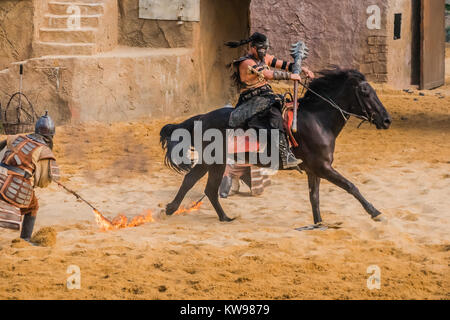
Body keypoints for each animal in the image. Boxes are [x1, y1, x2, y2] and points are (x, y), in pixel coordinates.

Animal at [161, 68, 390, 222]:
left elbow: (314, 197)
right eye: (365, 91)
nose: (386, 120)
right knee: (199, 184)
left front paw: (318, 222)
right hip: (213, 161)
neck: (317, 119)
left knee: (200, 185)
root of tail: (201, 118)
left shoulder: (314, 170)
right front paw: (375, 212)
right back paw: (186, 210)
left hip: (212, 162)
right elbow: (350, 186)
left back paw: (205, 214)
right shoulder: (323, 167)